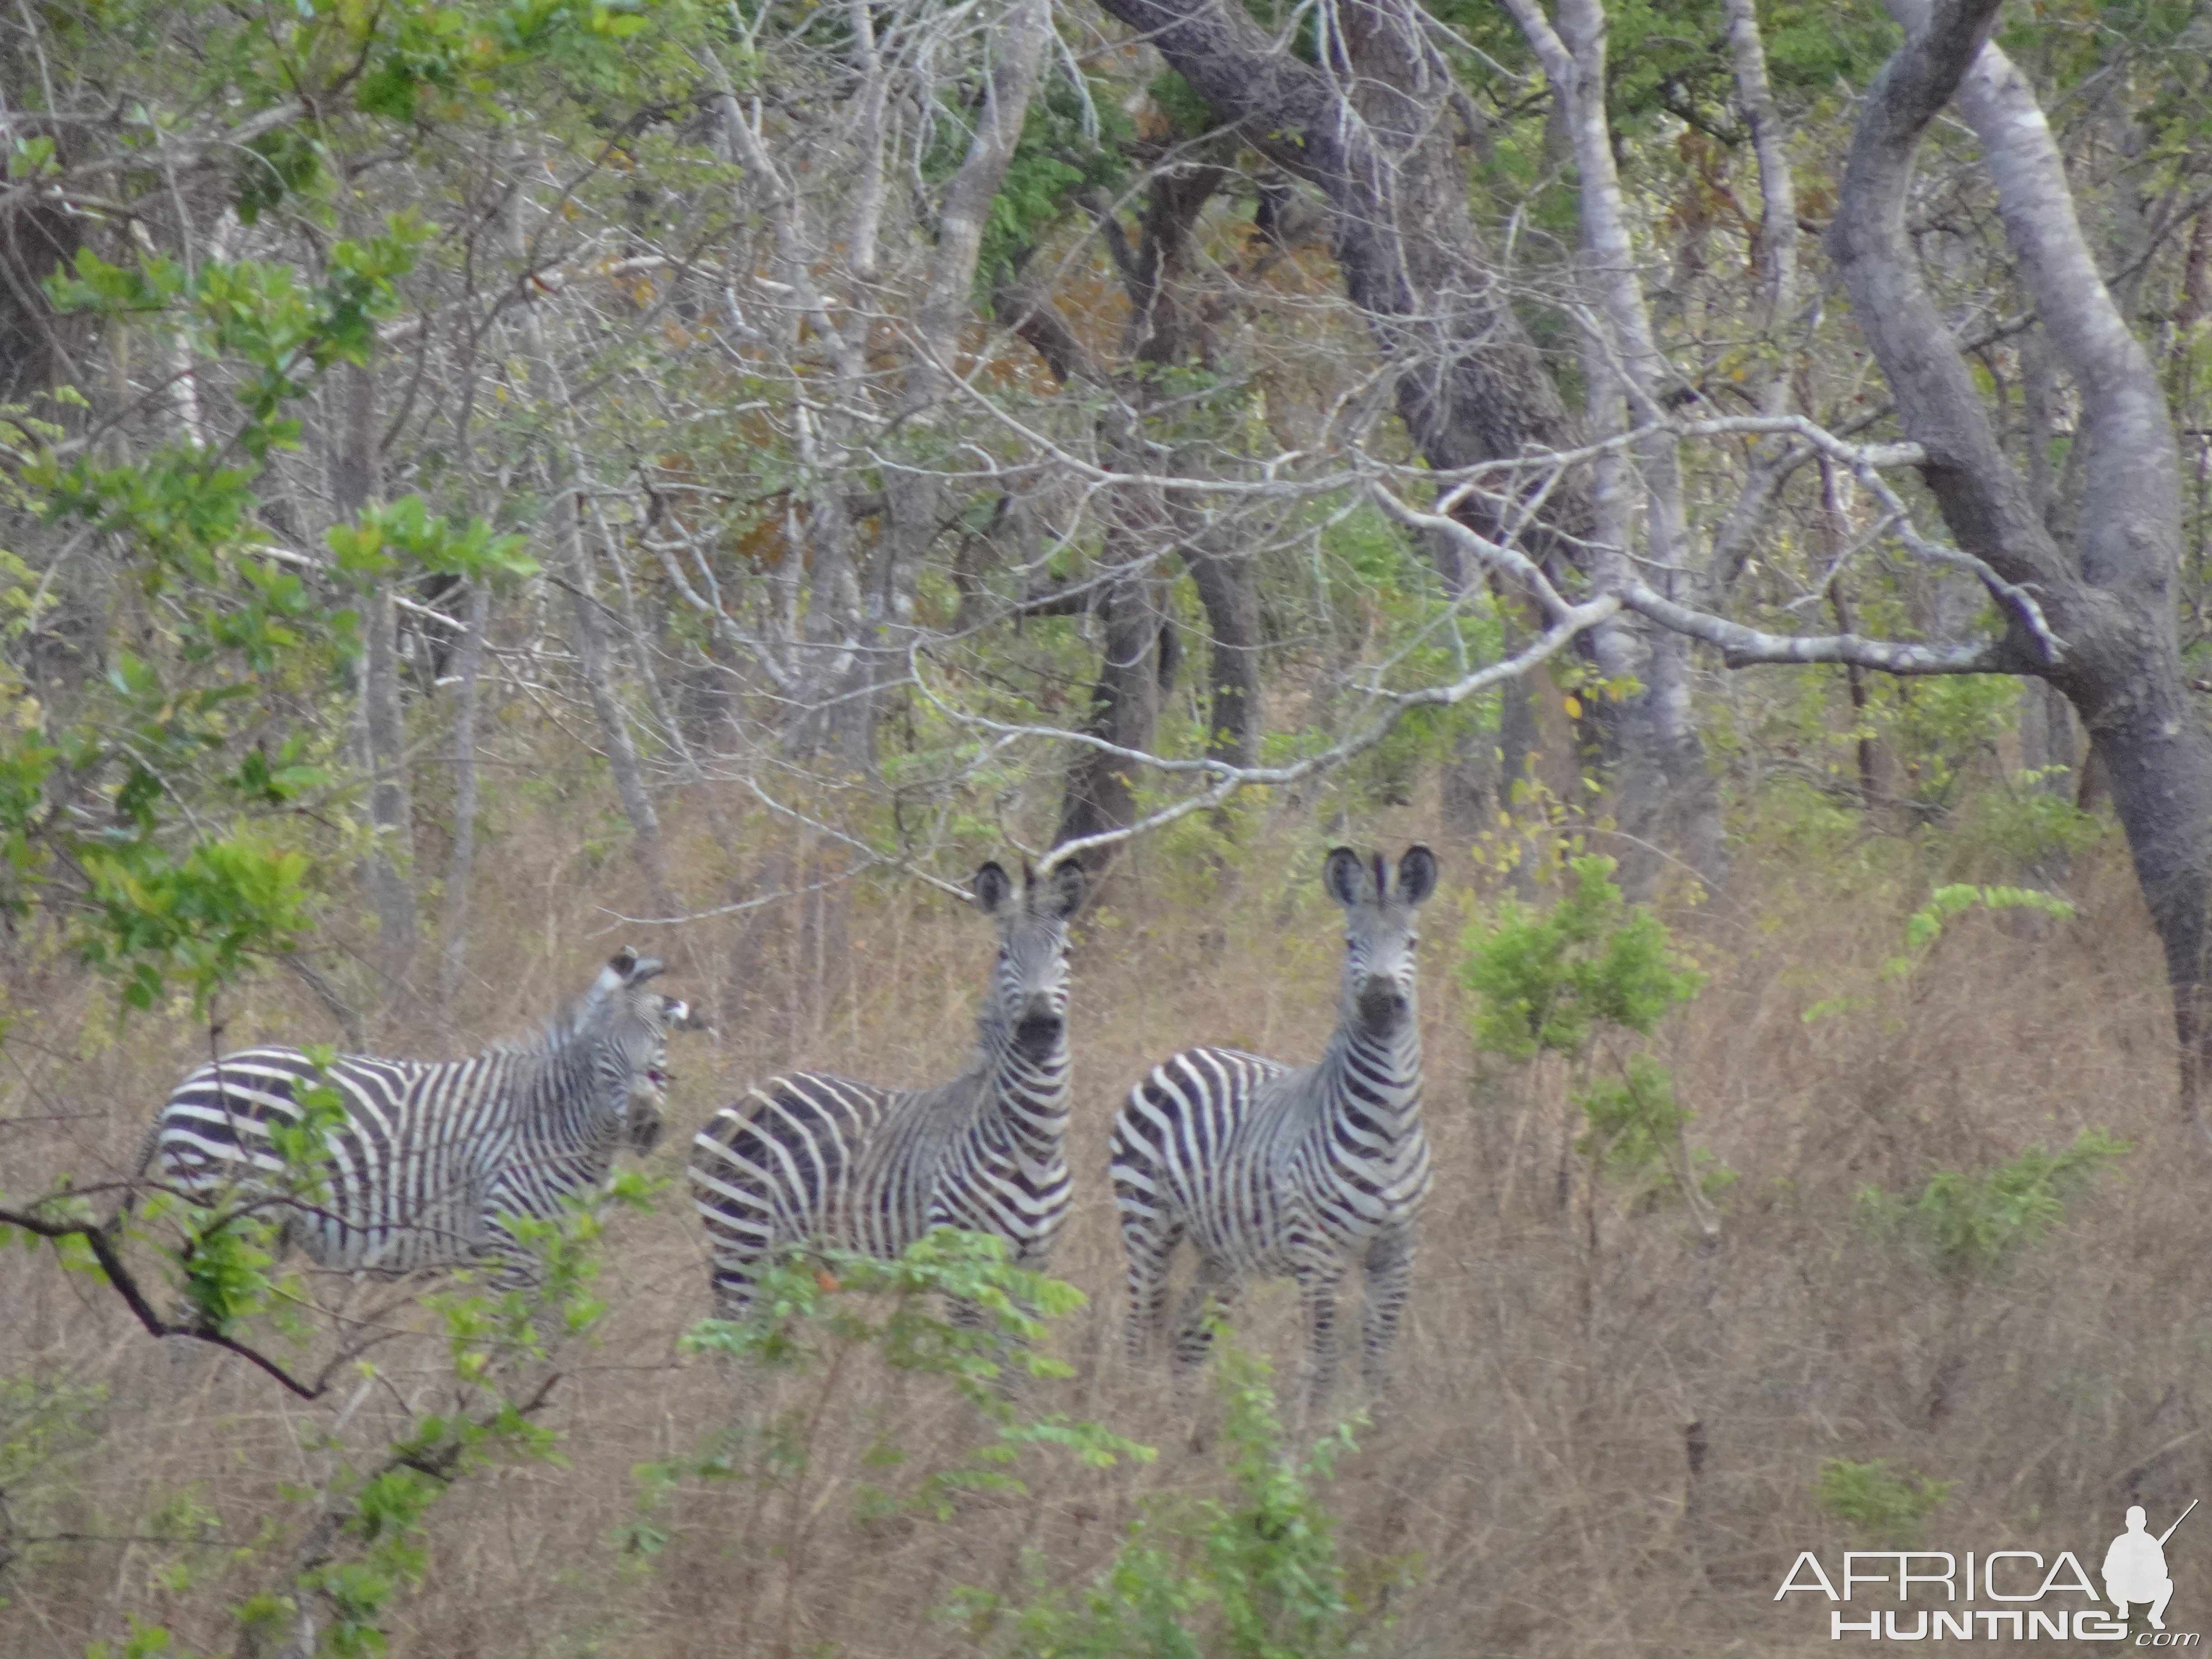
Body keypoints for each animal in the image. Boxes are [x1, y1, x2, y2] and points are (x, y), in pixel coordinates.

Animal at [144, 947, 694, 1283]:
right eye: (603, 1050)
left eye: (661, 1046)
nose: (645, 1127)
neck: (560, 1126)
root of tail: (185, 1082)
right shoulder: (511, 1244)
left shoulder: (564, 1249)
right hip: (227, 1208)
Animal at [681, 862, 1079, 1318]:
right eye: (1003, 954)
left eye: (1067, 953)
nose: (1038, 1028)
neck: (1035, 1145)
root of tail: (744, 1099)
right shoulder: (964, 1266)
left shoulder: (1033, 1272)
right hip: (742, 1243)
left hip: (779, 1260)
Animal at [1115, 845, 1442, 1415]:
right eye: (1350, 942)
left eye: (1412, 943)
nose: (1382, 1003)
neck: (1389, 1129)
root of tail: (1182, 1054)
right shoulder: (1318, 1253)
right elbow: (1325, 1363)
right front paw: (1311, 1435)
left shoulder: (1398, 1251)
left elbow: (1378, 1365)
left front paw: (1374, 1430)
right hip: (1148, 1223)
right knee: (1138, 1329)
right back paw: (1132, 1416)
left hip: (1221, 1253)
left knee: (1187, 1341)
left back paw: (1183, 1427)